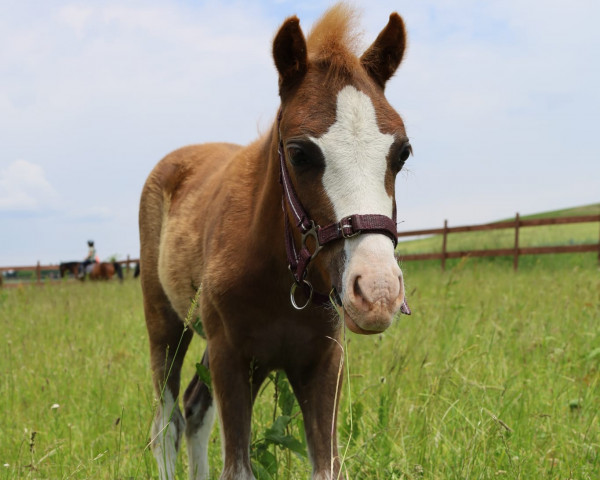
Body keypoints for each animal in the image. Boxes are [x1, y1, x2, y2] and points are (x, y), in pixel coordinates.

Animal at [141, 4, 412, 480]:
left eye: (402, 153)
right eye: (299, 153)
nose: (377, 292)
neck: (279, 271)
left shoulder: (322, 364)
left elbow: (327, 465)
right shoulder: (232, 359)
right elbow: (236, 468)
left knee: (193, 411)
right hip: (166, 328)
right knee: (167, 424)